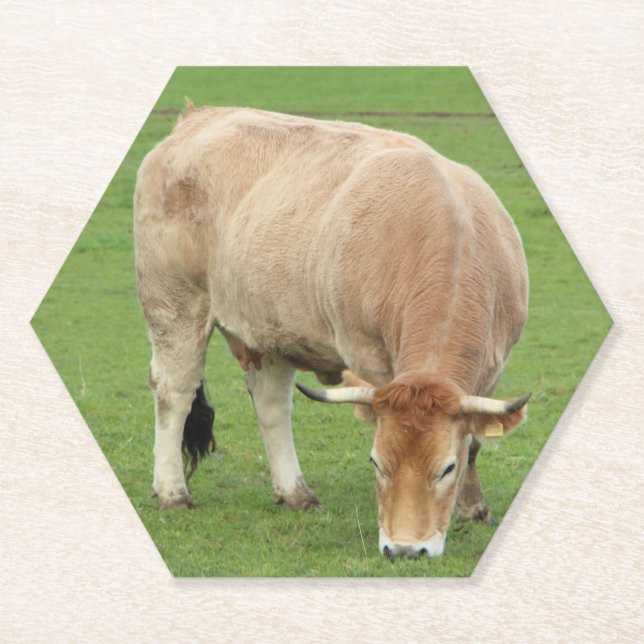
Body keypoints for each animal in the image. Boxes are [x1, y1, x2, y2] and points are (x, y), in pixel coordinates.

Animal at [134, 101, 529, 559]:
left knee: (271, 403)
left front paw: (473, 508)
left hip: (270, 324)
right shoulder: (371, 361)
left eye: (447, 468)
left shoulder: (494, 367)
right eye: (377, 463)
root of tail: (199, 116)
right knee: (174, 394)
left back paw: (295, 492)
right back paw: (172, 491)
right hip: (175, 305)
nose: (405, 549)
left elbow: (476, 442)